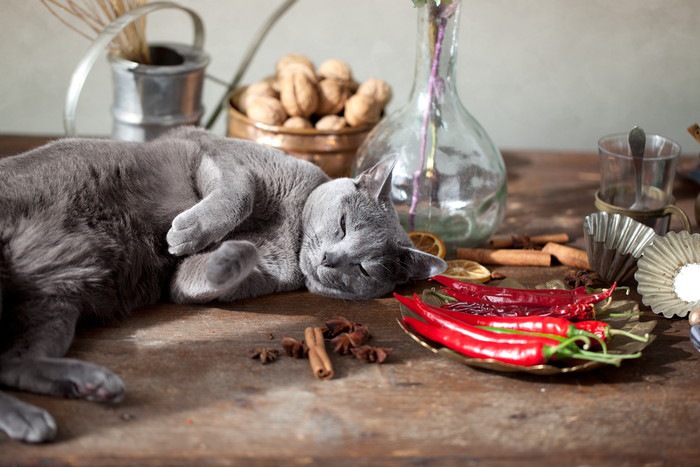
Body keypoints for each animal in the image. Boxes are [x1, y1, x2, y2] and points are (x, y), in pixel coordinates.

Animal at [0, 127, 448, 442]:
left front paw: (224, 258)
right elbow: (240, 195)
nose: (329, 259)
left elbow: (202, 272)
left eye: (365, 269)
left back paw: (72, 394)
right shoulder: (218, 154)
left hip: (57, 303)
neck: (292, 229)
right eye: (341, 225)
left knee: (13, 364)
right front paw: (189, 234)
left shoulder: (185, 281)